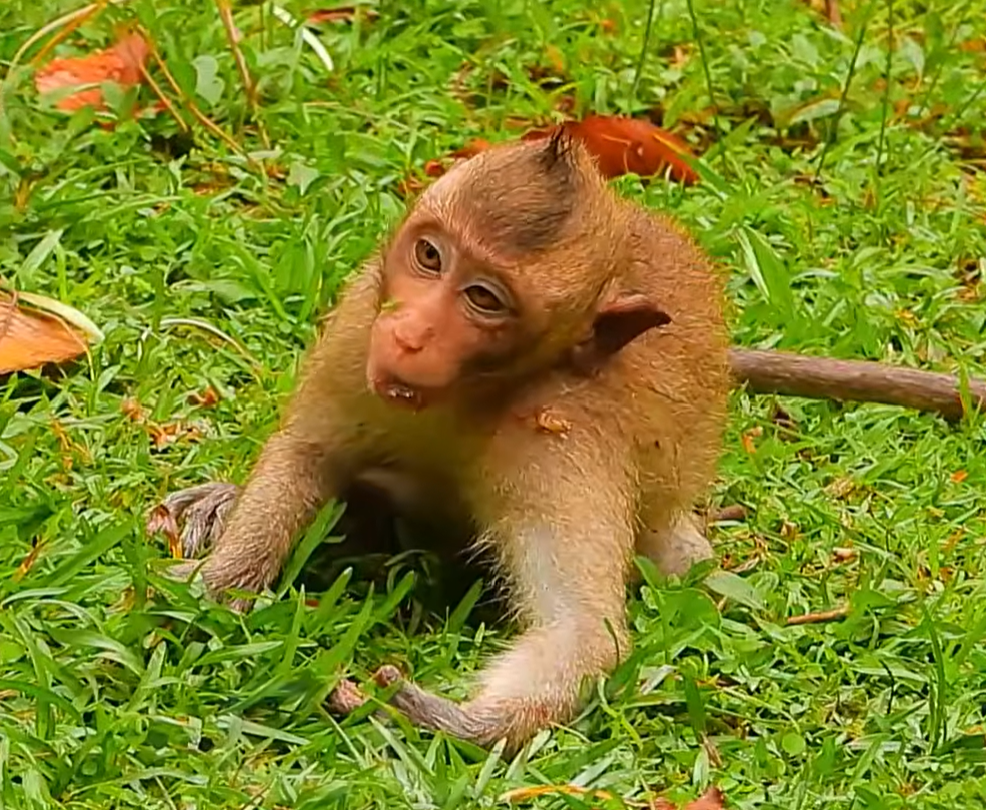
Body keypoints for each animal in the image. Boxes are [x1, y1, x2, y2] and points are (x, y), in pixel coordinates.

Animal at [156, 130, 730, 752]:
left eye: (484, 298)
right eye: (430, 257)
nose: (409, 335)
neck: (465, 397)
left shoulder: (559, 432)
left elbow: (578, 630)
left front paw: (435, 718)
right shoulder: (359, 327)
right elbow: (308, 454)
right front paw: (216, 583)